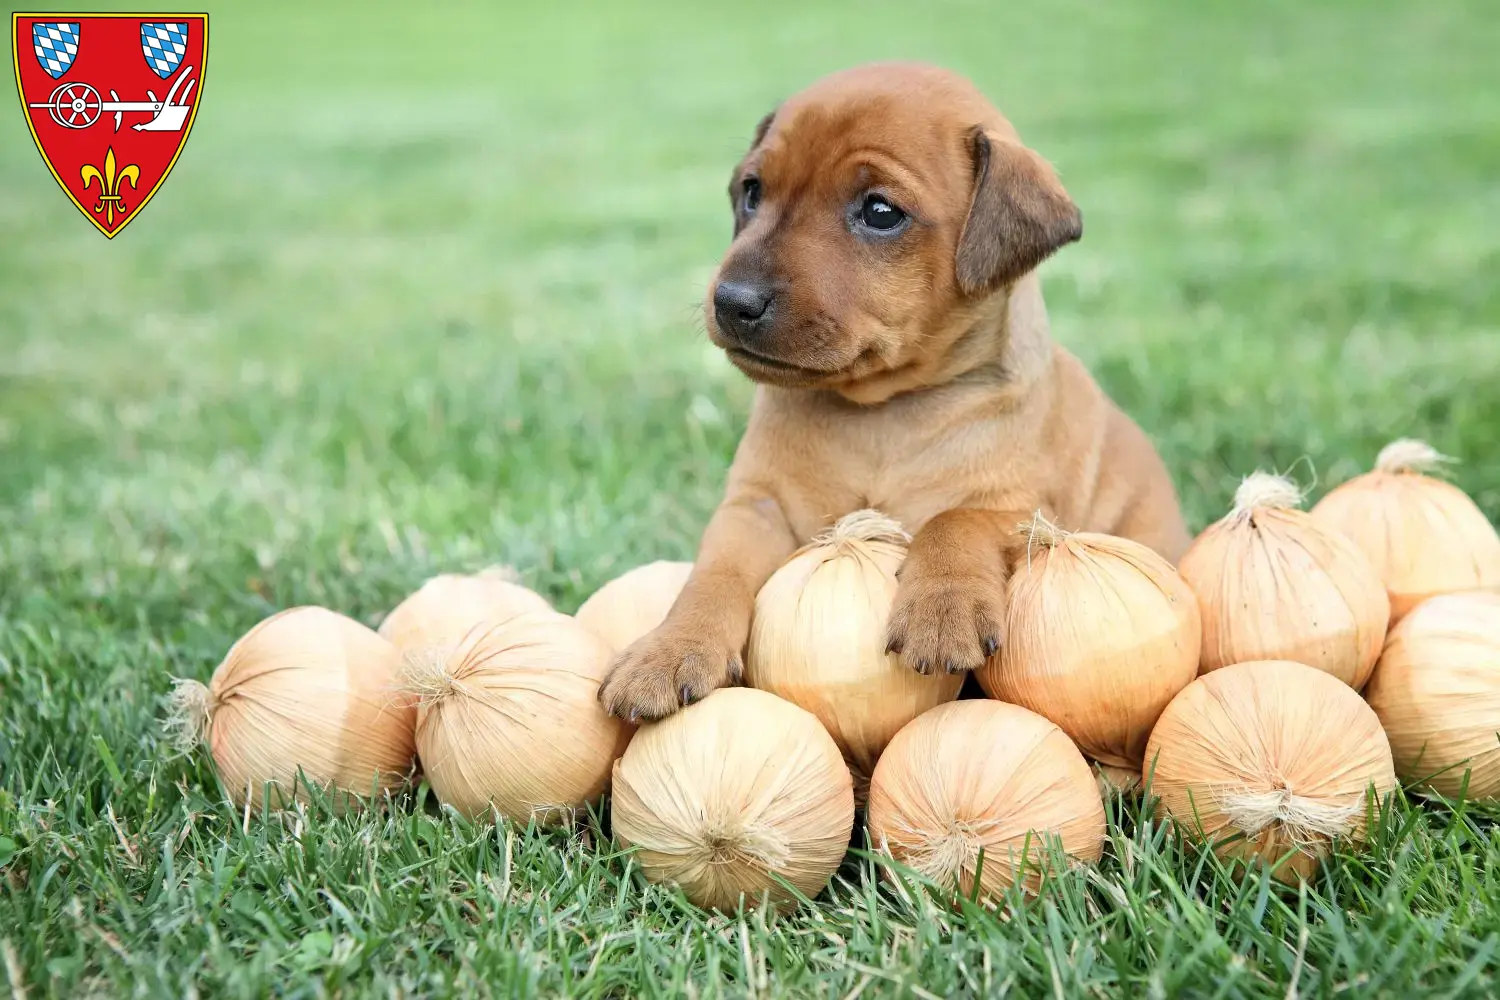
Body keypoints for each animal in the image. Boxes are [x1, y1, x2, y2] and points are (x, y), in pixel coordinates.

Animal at [594, 60, 1182, 719]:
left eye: (879, 211)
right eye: (752, 191)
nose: (733, 301)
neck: (882, 411)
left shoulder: (1025, 509)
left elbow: (956, 519)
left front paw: (940, 608)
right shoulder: (756, 507)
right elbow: (713, 573)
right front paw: (669, 650)